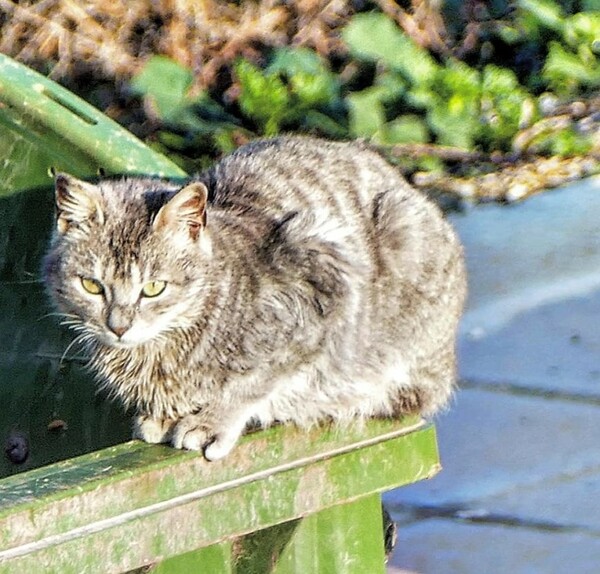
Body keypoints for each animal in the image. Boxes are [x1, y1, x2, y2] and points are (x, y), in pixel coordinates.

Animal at [44, 136, 466, 464]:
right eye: (92, 286)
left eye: (153, 288)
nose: (118, 326)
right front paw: (165, 414)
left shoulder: (326, 291)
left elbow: (258, 380)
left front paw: (213, 419)